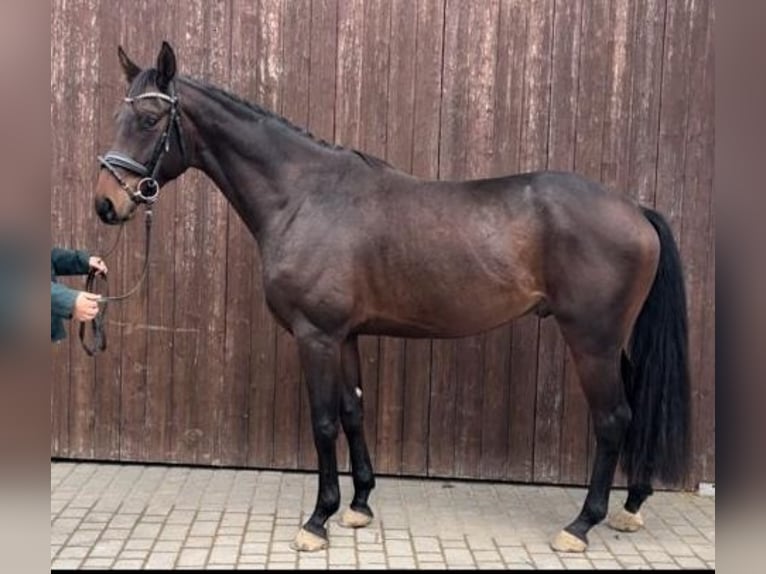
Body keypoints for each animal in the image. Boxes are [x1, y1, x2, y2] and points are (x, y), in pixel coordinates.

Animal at [93, 42, 692, 556]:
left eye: (149, 120)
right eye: (118, 117)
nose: (105, 204)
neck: (304, 196)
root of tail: (635, 208)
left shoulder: (316, 336)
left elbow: (323, 421)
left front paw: (318, 519)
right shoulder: (345, 336)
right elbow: (354, 411)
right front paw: (358, 505)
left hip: (591, 340)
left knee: (613, 418)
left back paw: (581, 524)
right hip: (614, 342)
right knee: (638, 408)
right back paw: (631, 506)